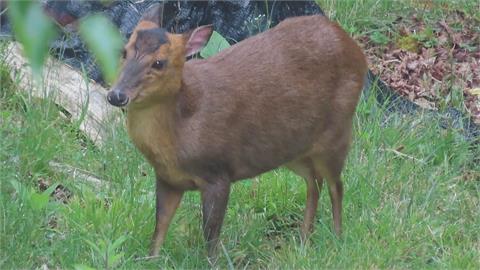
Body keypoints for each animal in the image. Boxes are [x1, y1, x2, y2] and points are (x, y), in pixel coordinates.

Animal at [106, 3, 368, 258]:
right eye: (124, 51)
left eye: (159, 63)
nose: (116, 95)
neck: (181, 130)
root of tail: (355, 49)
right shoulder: (167, 178)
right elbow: (159, 228)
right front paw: (149, 259)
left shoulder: (218, 173)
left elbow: (211, 237)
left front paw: (212, 262)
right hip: (292, 148)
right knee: (314, 182)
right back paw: (304, 242)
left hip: (337, 133)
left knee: (336, 186)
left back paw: (336, 240)